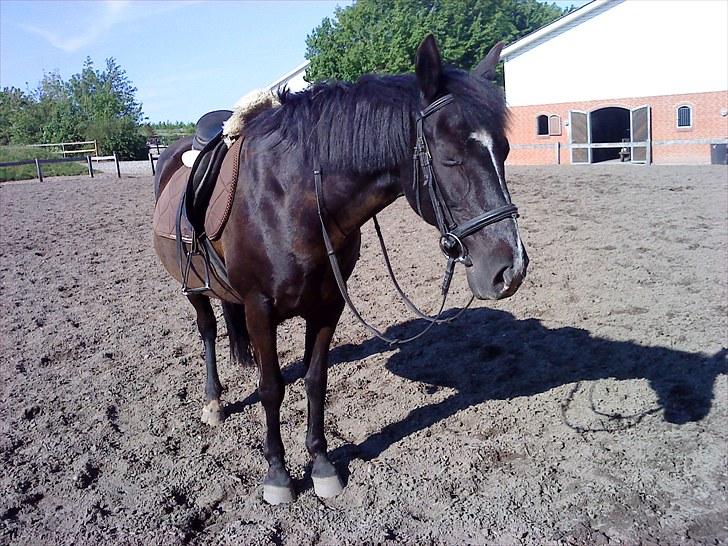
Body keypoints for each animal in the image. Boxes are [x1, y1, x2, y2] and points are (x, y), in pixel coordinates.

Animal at [152, 34, 528, 504]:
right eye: (450, 158)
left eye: (505, 151)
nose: (510, 269)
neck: (293, 198)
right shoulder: (259, 308)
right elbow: (271, 388)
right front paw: (278, 475)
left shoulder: (328, 305)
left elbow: (315, 381)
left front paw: (322, 466)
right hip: (193, 288)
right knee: (207, 331)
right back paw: (214, 402)